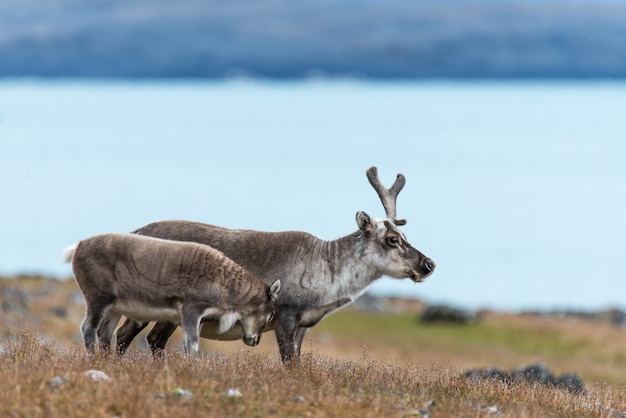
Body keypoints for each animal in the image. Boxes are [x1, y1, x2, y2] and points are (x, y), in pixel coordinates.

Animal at [63, 233, 278, 354]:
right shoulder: (191, 310)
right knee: (88, 328)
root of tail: (78, 246)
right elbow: (192, 345)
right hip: (98, 298)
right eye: (271, 314)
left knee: (105, 333)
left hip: (114, 307)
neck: (226, 284)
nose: (255, 340)